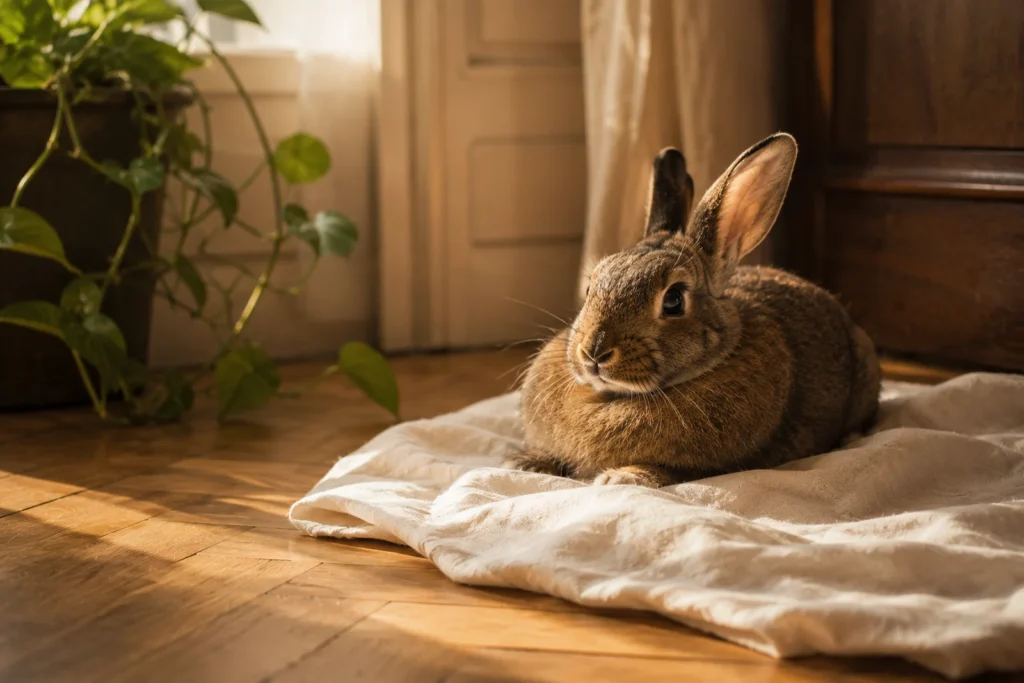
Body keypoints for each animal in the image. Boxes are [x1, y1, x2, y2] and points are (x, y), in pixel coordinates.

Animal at [508, 133, 881, 487]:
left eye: (674, 300)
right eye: (590, 287)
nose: (594, 352)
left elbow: (670, 471)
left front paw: (622, 477)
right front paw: (526, 463)